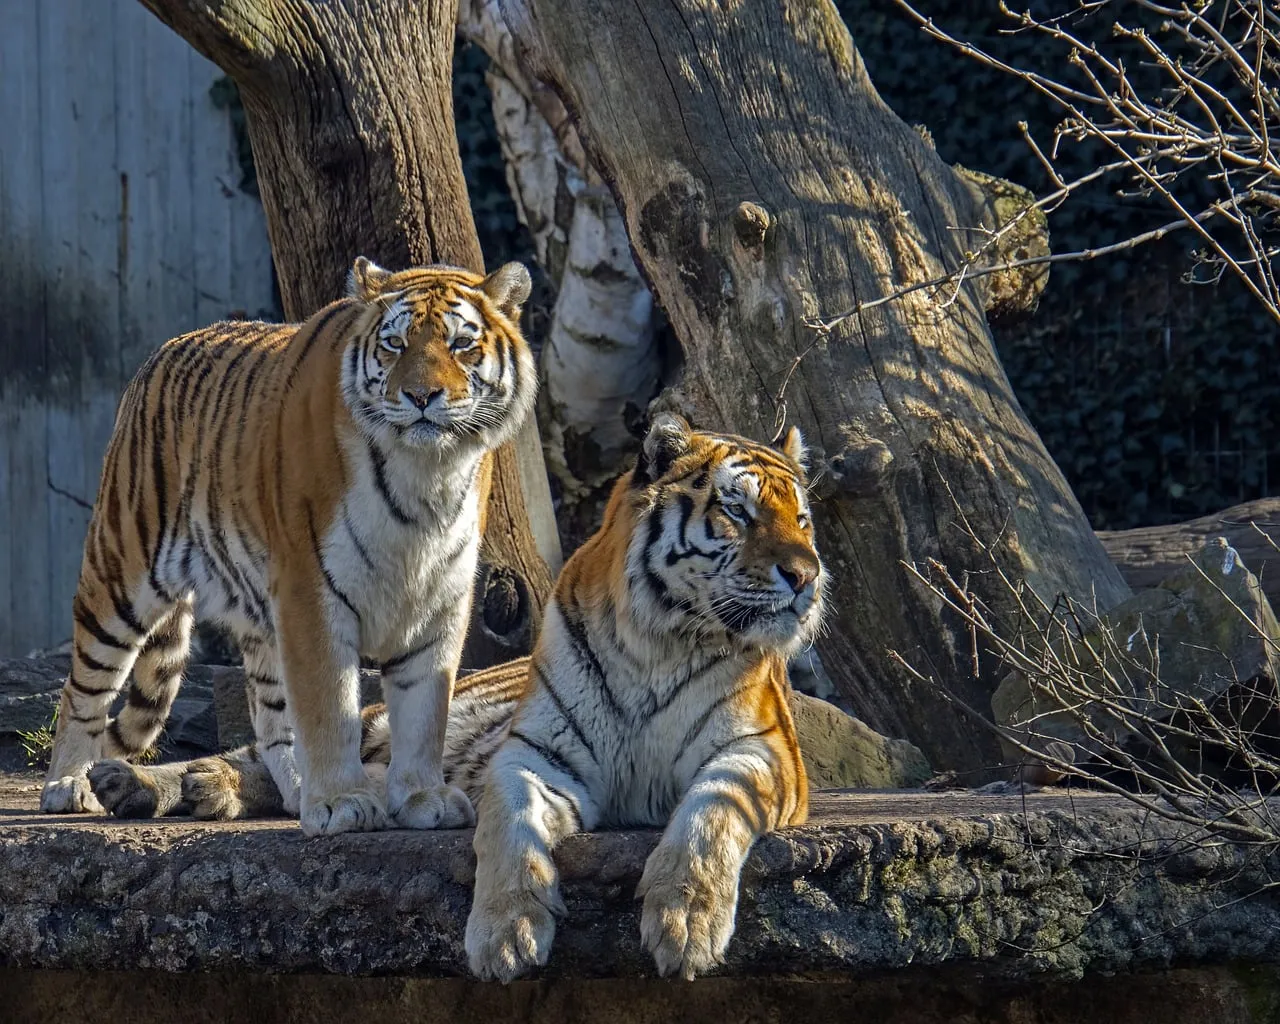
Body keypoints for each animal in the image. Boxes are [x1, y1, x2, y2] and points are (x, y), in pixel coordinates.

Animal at [41, 256, 536, 838]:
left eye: (461, 344)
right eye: (395, 344)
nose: (420, 397)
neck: (426, 474)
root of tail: (164, 350)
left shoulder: (441, 598)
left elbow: (423, 712)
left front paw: (422, 797)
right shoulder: (311, 589)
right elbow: (329, 705)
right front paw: (343, 801)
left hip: (258, 612)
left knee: (271, 717)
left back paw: (295, 791)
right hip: (123, 571)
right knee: (84, 688)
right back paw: (68, 784)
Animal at [89, 413, 823, 979]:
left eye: (803, 519)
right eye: (737, 512)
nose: (807, 576)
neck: (661, 640)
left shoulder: (760, 754)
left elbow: (708, 818)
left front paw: (684, 923)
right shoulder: (534, 756)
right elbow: (508, 830)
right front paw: (504, 934)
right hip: (377, 723)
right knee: (284, 761)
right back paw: (135, 781)